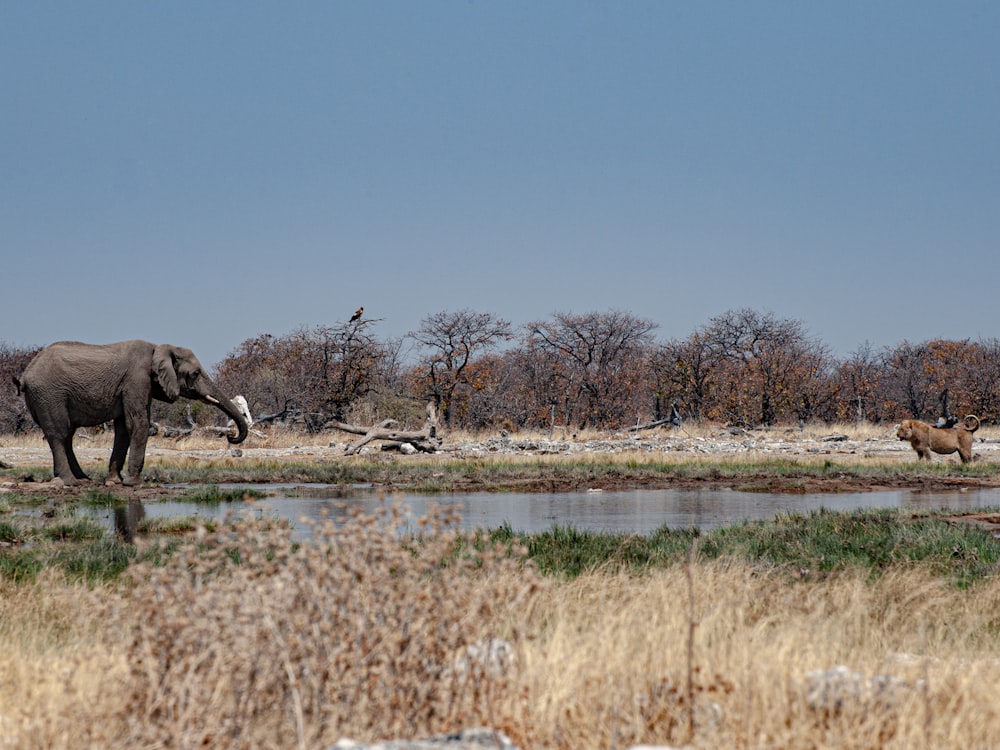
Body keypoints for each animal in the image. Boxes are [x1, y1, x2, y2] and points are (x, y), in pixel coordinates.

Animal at [14, 340, 250, 488]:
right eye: (195, 373)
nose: (231, 436)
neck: (159, 348)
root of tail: (25, 375)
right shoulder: (137, 379)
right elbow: (138, 423)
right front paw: (135, 483)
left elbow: (123, 429)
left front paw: (114, 482)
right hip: (49, 394)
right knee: (59, 433)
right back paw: (71, 482)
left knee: (68, 435)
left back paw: (84, 480)